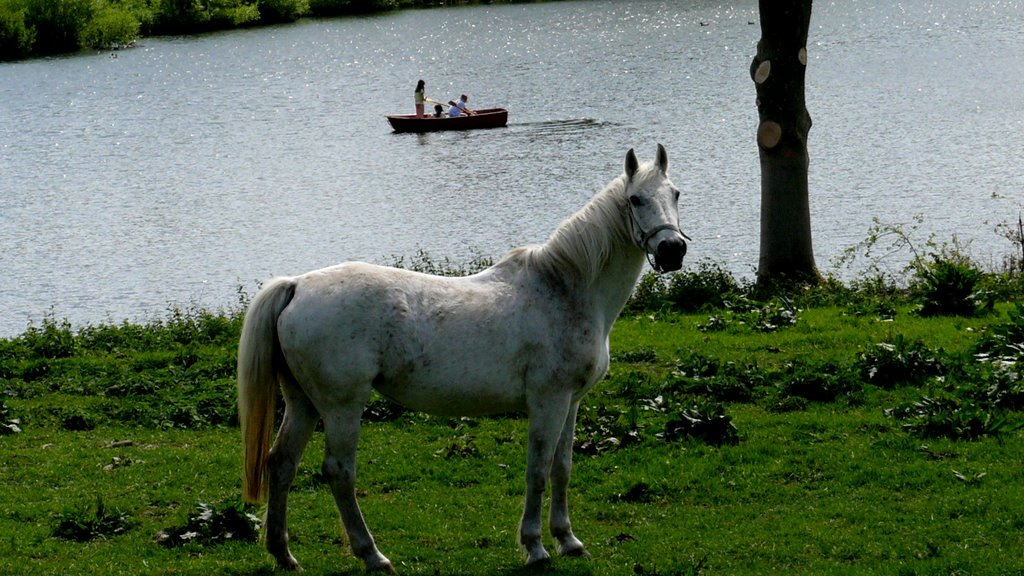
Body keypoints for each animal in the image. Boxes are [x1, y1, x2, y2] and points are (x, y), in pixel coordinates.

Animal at [238, 143, 688, 569]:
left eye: (675, 193)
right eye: (635, 199)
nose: (672, 250)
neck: (564, 289)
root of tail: (297, 285)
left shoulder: (571, 402)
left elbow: (562, 468)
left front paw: (568, 540)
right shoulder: (549, 401)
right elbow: (538, 470)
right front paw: (535, 547)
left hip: (303, 402)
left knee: (281, 463)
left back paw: (283, 553)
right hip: (341, 406)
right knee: (338, 472)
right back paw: (372, 555)